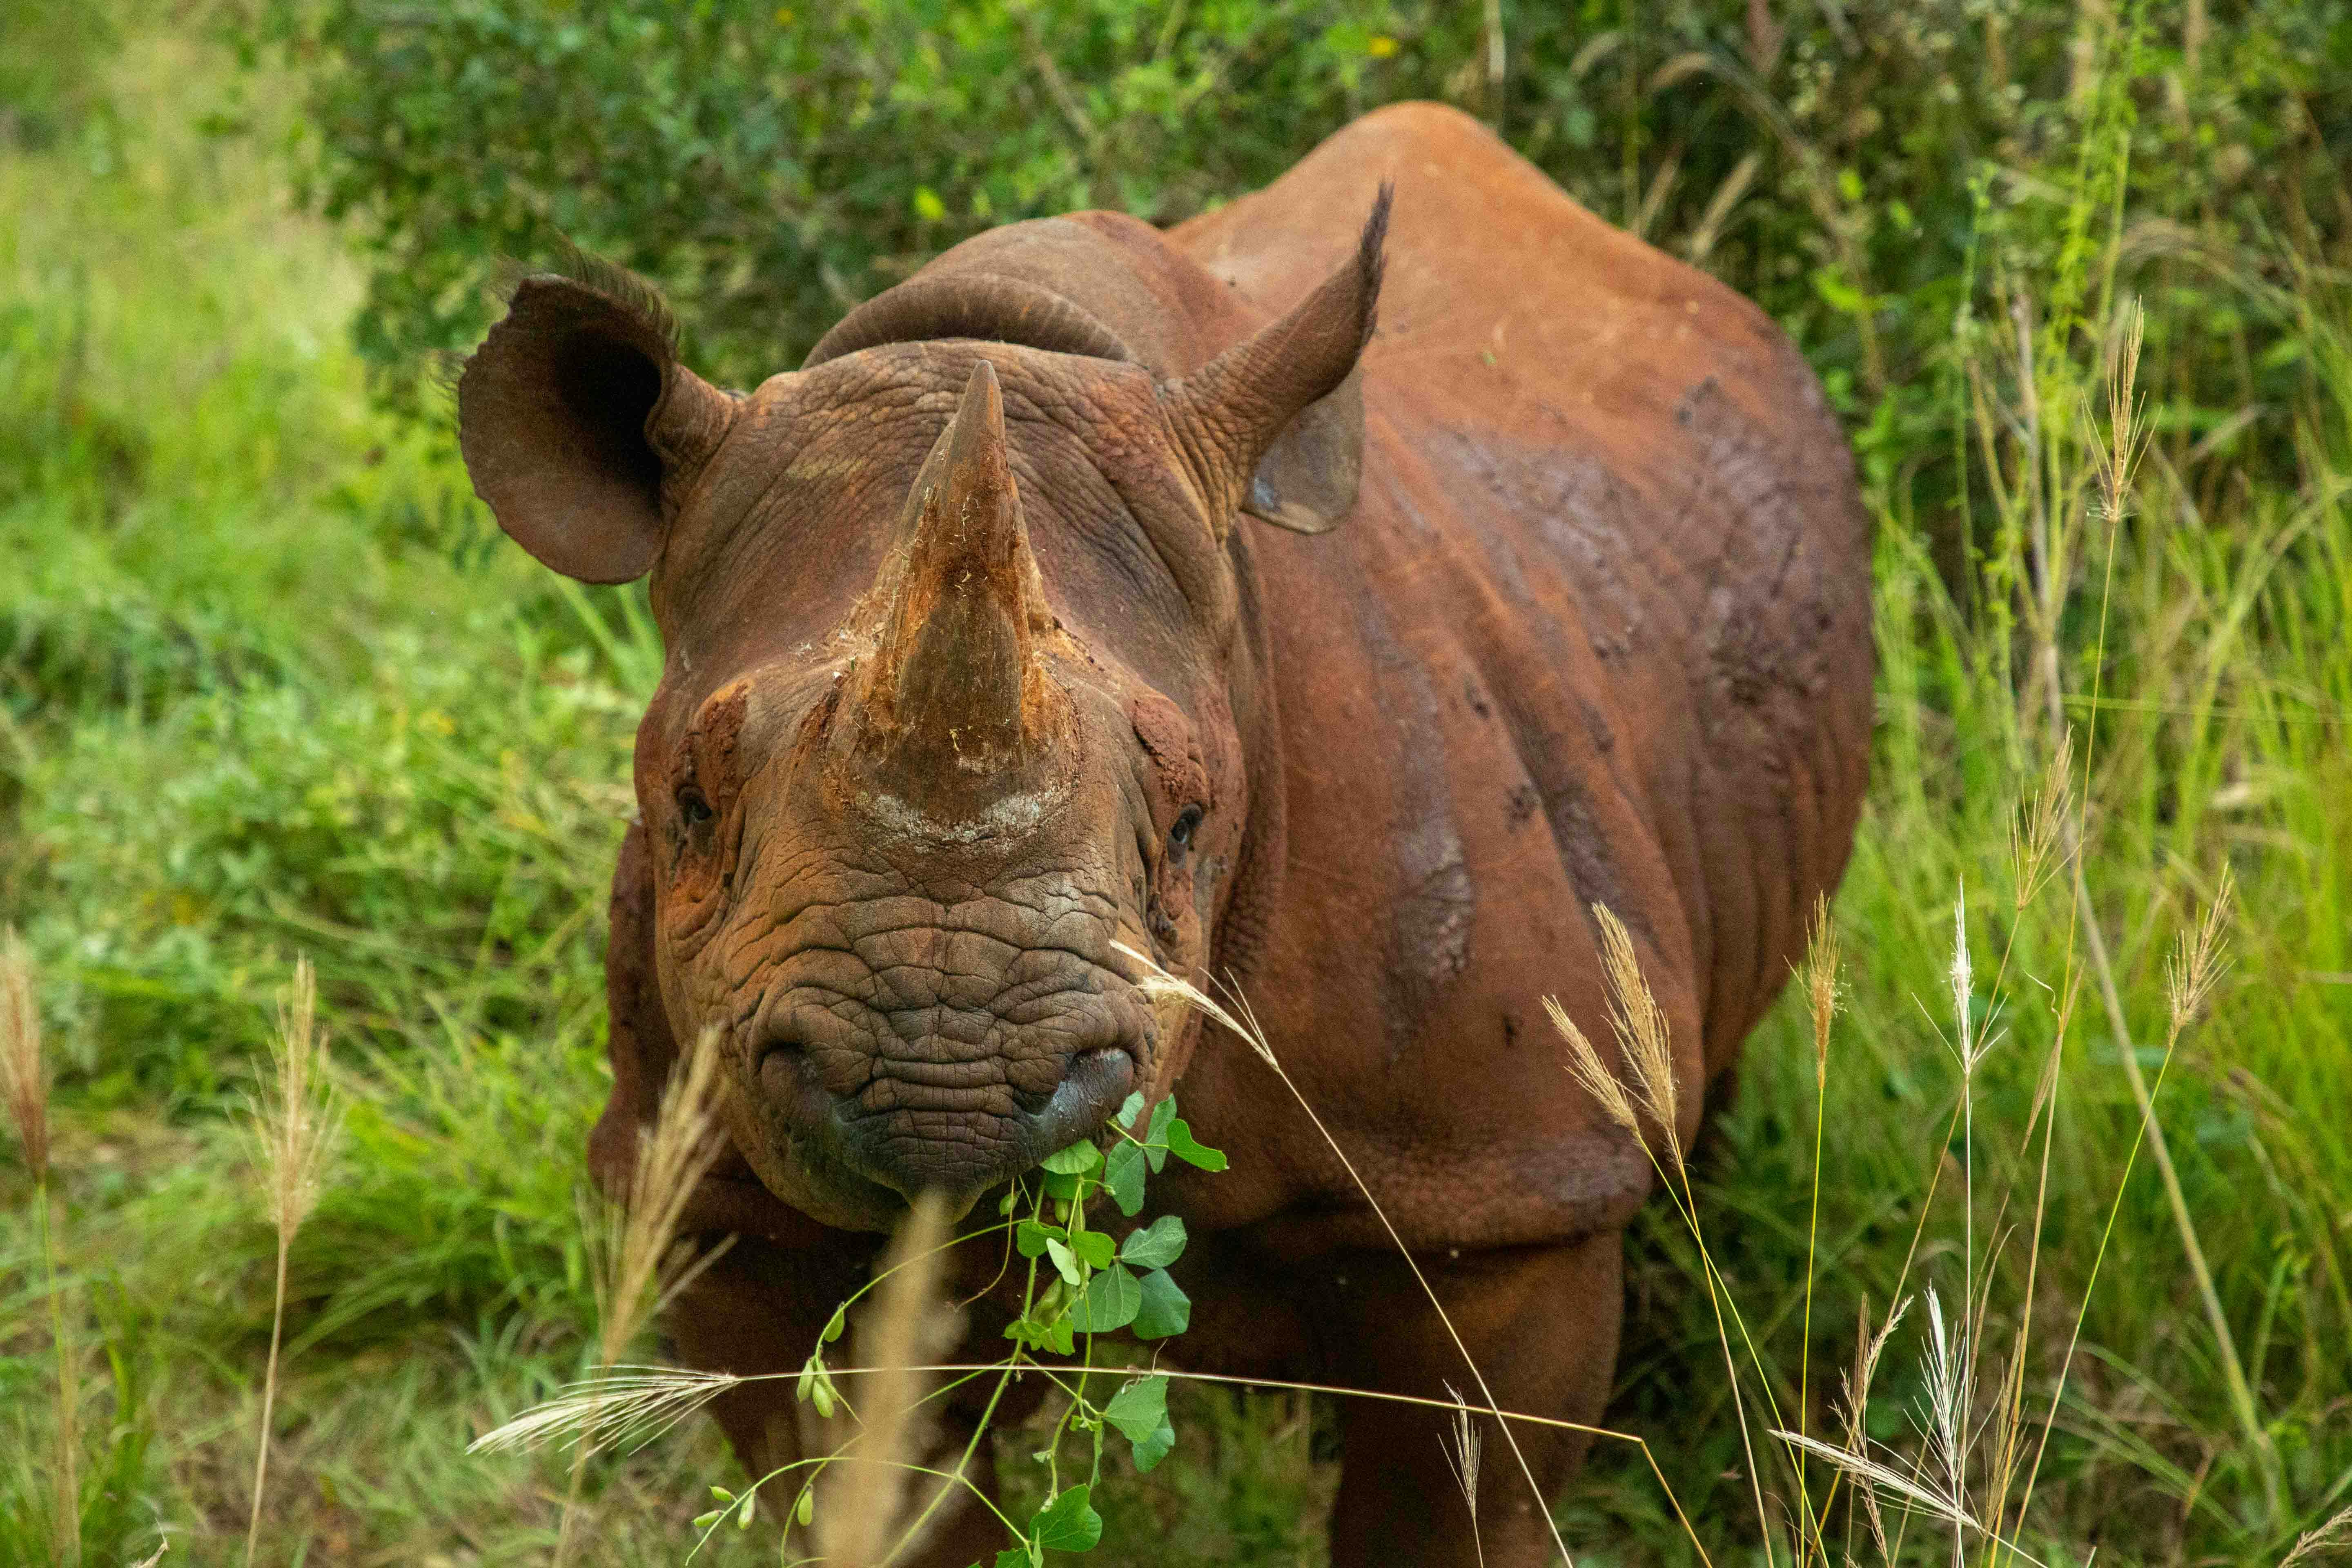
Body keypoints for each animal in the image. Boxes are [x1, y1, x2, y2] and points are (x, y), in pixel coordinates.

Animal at [457, 103, 1871, 1564]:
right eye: (692, 801)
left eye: (1191, 820)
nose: (943, 1094)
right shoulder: (718, 1206)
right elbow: (868, 1493)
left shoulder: (1512, 1196)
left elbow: (1453, 1504)